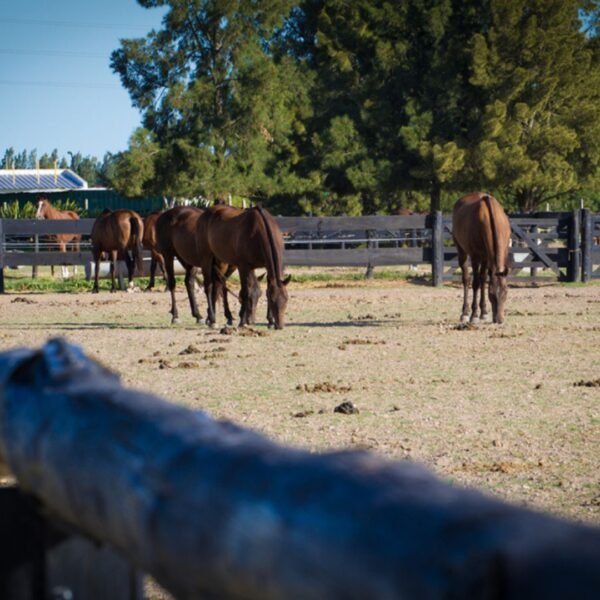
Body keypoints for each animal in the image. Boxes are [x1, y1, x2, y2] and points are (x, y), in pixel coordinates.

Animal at [452, 192, 508, 324]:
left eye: (506, 292)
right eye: (492, 294)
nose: (499, 319)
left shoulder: (488, 257)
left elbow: (483, 280)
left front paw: (484, 313)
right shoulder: (475, 256)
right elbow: (475, 282)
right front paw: (474, 315)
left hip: (484, 258)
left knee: (482, 279)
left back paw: (483, 312)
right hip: (462, 251)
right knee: (467, 279)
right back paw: (465, 313)